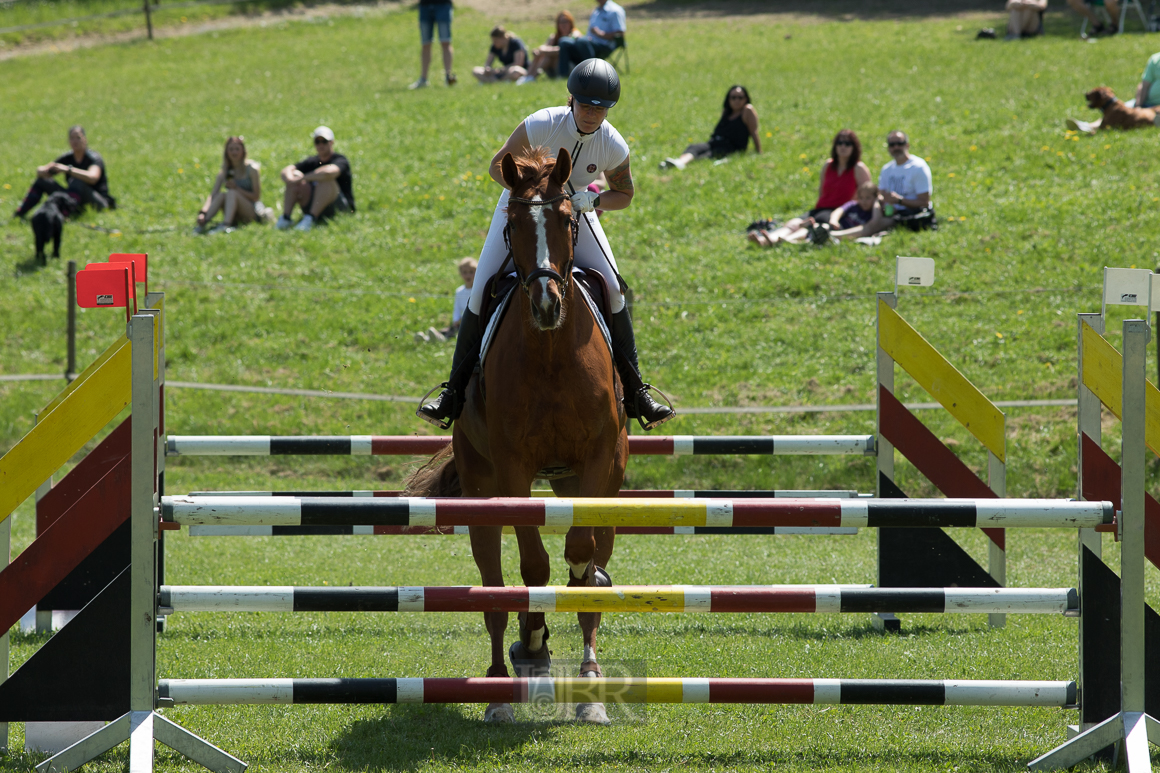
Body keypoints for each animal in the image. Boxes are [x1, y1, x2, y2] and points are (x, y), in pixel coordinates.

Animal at [406, 146, 631, 724]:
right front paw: (532, 646)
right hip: (483, 491)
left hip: (585, 483)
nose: (547, 305)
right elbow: (533, 566)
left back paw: (589, 680)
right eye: (512, 225)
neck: (551, 353)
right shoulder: (513, 470)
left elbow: (581, 554)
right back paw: (499, 688)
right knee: (492, 590)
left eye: (569, 219)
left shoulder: (598, 462)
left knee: (590, 560)